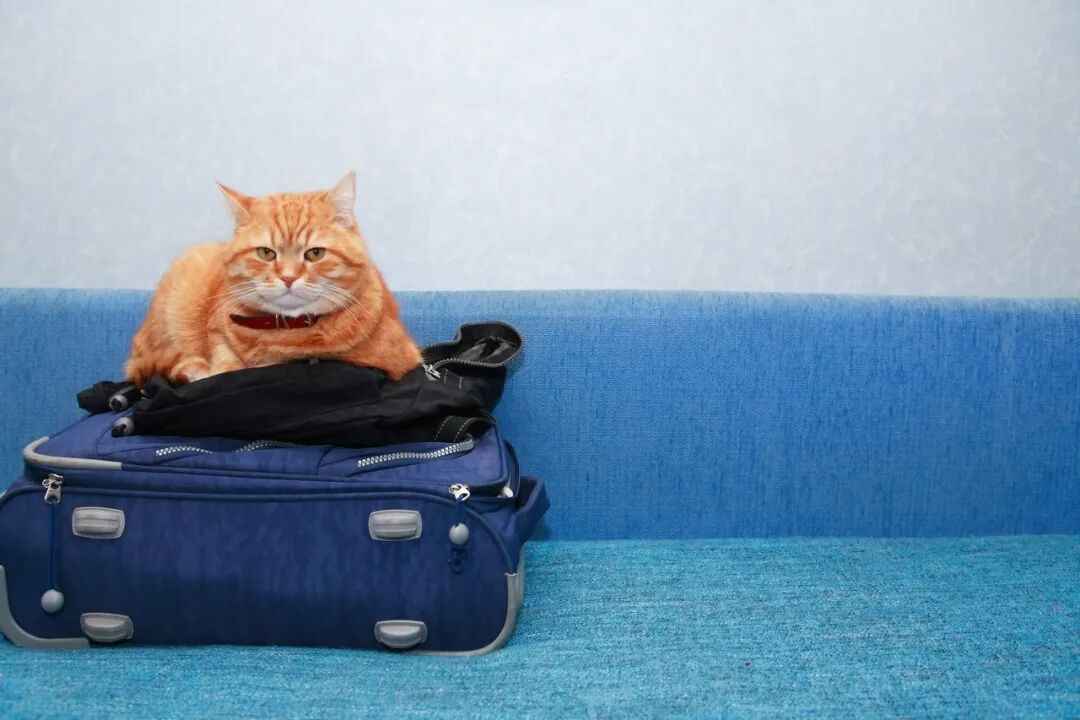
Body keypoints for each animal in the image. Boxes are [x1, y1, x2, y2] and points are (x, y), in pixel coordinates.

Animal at [125, 172, 422, 386]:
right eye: (266, 253)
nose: (288, 277)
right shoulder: (217, 333)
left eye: (315, 253)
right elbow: (224, 365)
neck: (281, 333)